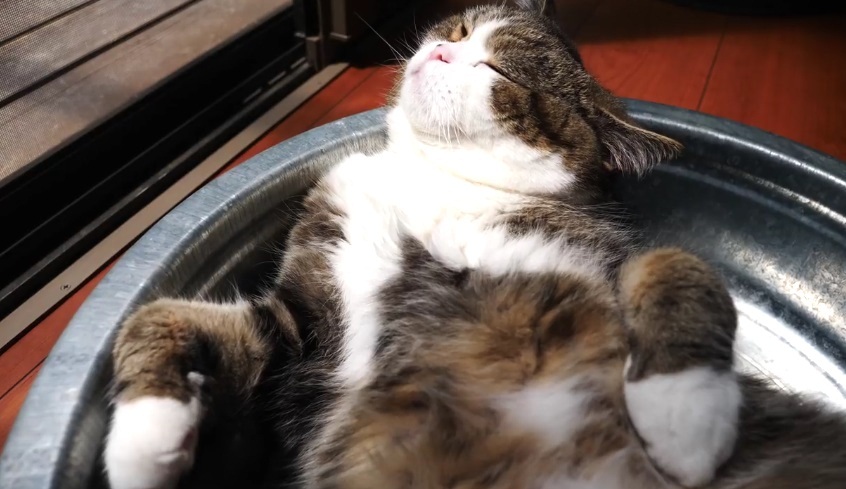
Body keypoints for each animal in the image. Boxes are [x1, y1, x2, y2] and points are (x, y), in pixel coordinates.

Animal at [102, 0, 846, 488]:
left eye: (503, 73)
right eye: (459, 29)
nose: (439, 50)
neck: (433, 177)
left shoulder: (599, 253)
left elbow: (674, 259)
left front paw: (684, 414)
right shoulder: (309, 327)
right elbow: (155, 314)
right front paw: (143, 440)